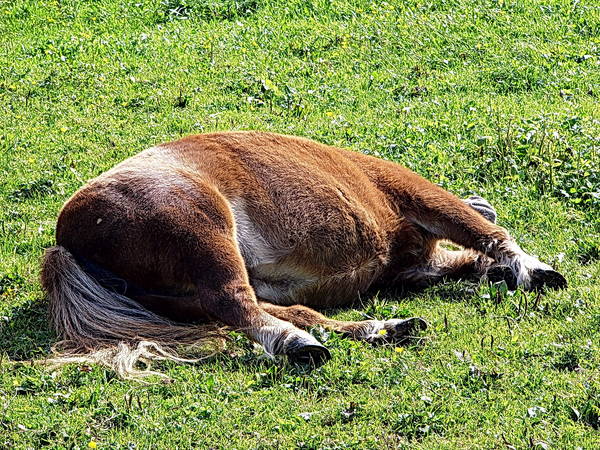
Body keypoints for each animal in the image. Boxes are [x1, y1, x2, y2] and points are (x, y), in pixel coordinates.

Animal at [39, 131, 564, 376]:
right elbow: (482, 230)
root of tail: (68, 239)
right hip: (205, 232)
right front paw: (533, 271)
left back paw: (382, 329)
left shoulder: (414, 267)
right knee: (238, 302)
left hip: (188, 296)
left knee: (284, 310)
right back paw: (298, 345)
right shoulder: (414, 193)